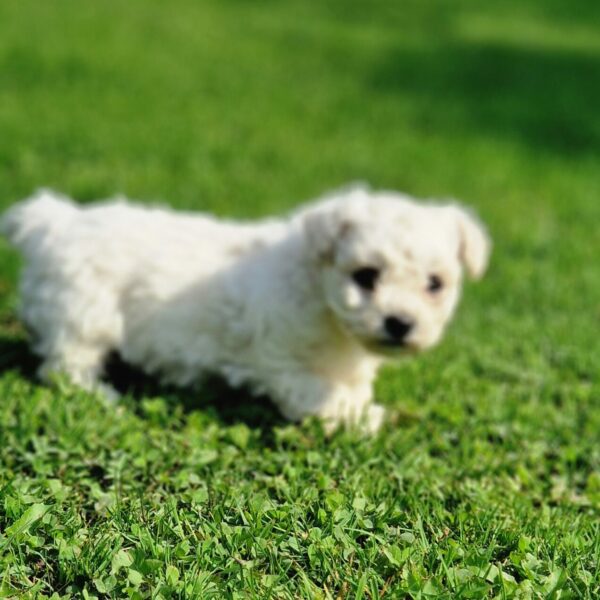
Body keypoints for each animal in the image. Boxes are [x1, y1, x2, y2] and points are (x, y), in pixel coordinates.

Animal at [0, 186, 490, 432]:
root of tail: (54, 221)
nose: (400, 323)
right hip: (82, 315)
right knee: (65, 367)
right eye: (366, 276)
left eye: (435, 284)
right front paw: (365, 418)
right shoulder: (281, 361)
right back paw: (102, 394)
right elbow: (322, 395)